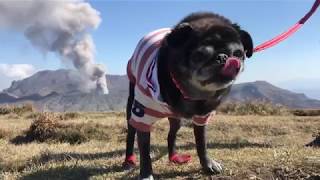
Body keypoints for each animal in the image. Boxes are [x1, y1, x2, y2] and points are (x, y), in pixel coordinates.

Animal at [122, 12, 252, 179]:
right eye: (200, 55)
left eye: (238, 54)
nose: (223, 57)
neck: (191, 94)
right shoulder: (143, 116)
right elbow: (145, 152)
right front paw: (146, 174)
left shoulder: (202, 117)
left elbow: (201, 143)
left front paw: (207, 164)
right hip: (132, 108)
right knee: (131, 133)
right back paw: (128, 160)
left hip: (177, 120)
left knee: (171, 135)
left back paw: (174, 157)